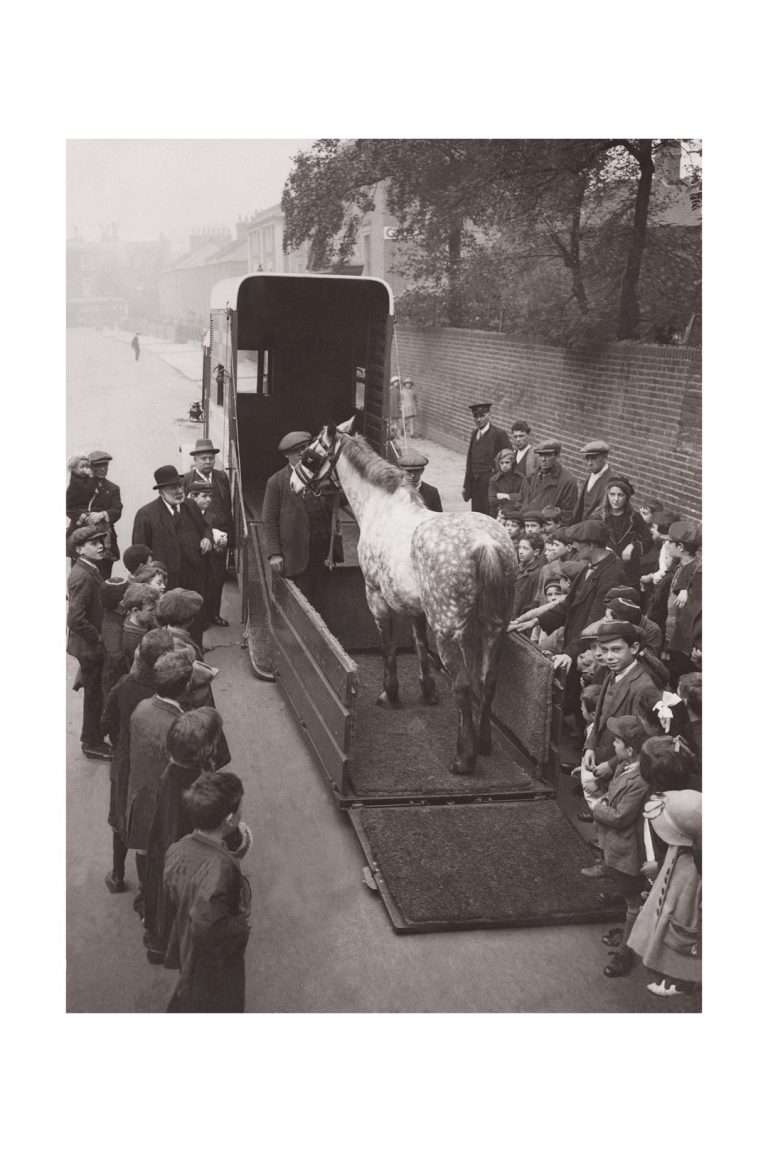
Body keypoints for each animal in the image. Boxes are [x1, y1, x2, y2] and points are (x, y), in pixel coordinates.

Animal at [291, 419, 520, 769]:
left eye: (310, 457)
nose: (292, 483)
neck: (381, 507)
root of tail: (486, 543)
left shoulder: (375, 595)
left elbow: (388, 646)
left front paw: (390, 694)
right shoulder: (417, 608)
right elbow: (419, 643)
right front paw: (427, 691)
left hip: (448, 632)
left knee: (464, 685)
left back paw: (463, 757)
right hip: (495, 628)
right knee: (487, 680)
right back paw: (483, 742)